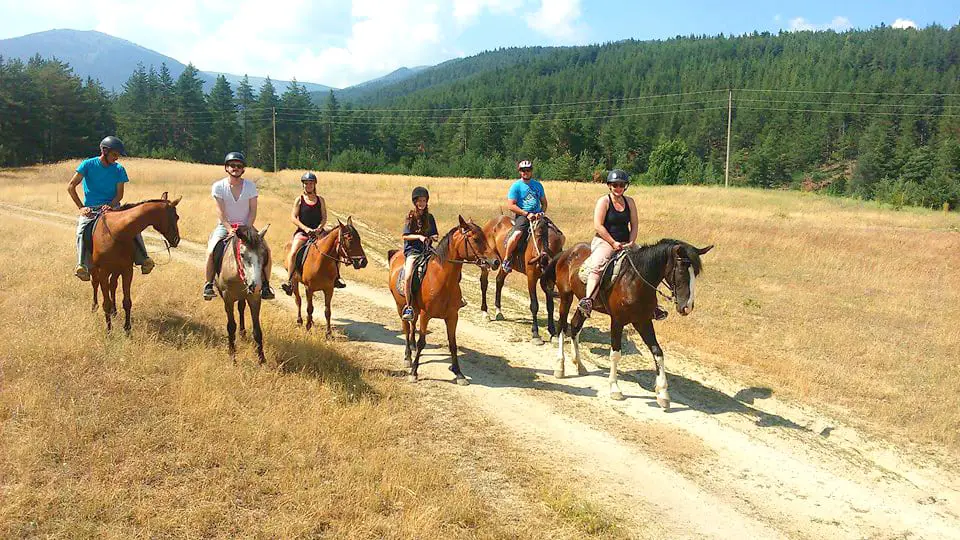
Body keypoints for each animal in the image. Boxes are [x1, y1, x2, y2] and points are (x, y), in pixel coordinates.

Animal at [90, 192, 182, 332]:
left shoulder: (127, 270)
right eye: (176, 217)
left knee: (113, 285)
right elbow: (105, 302)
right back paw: (94, 307)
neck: (116, 232)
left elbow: (127, 302)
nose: (177, 239)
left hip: (116, 270)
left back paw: (114, 311)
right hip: (96, 270)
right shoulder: (103, 271)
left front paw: (127, 329)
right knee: (95, 284)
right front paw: (109, 330)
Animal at [213, 221, 268, 364]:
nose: (256, 285)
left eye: (264, 254)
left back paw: (242, 333)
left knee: (241, 308)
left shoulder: (255, 298)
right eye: (242, 255)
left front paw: (261, 359)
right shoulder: (228, 298)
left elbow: (257, 330)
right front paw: (232, 356)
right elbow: (231, 326)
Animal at [386, 215, 498, 384]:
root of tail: (396, 254)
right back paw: (408, 357)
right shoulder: (426, 315)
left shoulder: (452, 316)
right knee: (406, 329)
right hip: (401, 306)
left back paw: (412, 349)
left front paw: (459, 373)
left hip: (415, 310)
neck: (442, 279)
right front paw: (414, 372)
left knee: (412, 326)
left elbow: (453, 344)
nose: (496, 262)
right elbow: (422, 342)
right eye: (476, 239)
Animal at [478, 213, 564, 344]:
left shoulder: (549, 282)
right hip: (486, 263)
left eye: (559, 245)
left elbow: (550, 307)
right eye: (537, 234)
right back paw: (485, 313)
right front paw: (535, 334)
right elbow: (534, 305)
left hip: (504, 265)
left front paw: (553, 333)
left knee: (499, 281)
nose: (541, 259)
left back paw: (499, 311)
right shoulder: (531, 278)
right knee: (484, 284)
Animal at [540, 238, 712, 408]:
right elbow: (615, 354)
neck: (634, 281)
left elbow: (658, 352)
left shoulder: (643, 321)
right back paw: (560, 367)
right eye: (681, 271)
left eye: (696, 273)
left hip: (584, 306)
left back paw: (580, 365)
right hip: (566, 297)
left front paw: (663, 393)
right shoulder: (617, 321)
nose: (687, 307)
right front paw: (615, 389)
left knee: (575, 326)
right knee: (562, 327)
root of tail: (567, 252)